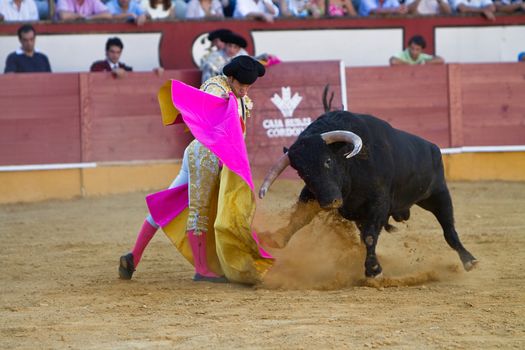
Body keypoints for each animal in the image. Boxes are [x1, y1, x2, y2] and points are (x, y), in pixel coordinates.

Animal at [256, 110, 476, 278]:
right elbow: (299, 218)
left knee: (449, 230)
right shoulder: (313, 193)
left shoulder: (379, 203)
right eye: (301, 172)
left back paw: (469, 260)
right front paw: (276, 238)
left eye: (327, 161)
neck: (350, 166)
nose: (329, 202)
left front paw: (373, 270)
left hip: (439, 194)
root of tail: (433, 147)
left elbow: (370, 236)